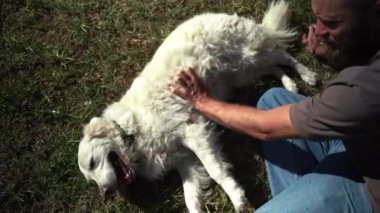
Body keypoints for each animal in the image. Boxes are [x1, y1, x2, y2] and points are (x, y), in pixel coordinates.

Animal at [76, 0, 314, 212]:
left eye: (92, 162)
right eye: (90, 179)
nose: (106, 193)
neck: (131, 131)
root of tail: (217, 15)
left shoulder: (193, 130)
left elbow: (216, 170)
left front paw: (237, 197)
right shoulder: (186, 161)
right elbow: (191, 199)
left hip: (249, 56)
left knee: (283, 54)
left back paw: (308, 75)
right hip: (242, 72)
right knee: (273, 67)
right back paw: (290, 83)